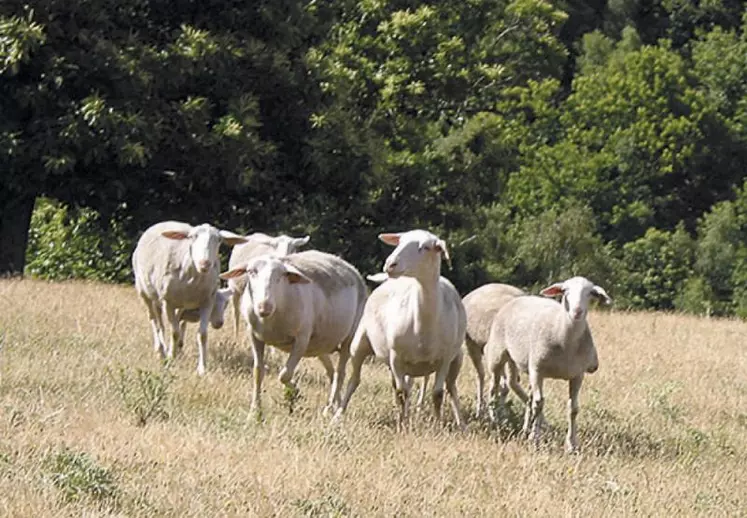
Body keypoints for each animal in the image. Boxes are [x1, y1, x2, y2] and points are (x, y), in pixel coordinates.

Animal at [132, 221, 248, 376]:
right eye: (192, 237)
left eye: (218, 240)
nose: (205, 263)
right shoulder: (168, 301)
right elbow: (174, 332)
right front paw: (170, 358)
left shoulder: (207, 301)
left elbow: (202, 334)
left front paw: (202, 368)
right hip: (145, 292)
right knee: (155, 322)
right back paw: (161, 350)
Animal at [218, 250, 366, 416]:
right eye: (251, 272)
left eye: (281, 276)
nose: (264, 306)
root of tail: (352, 269)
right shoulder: (254, 336)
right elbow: (258, 371)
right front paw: (255, 411)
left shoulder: (301, 339)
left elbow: (285, 374)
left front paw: (295, 390)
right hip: (320, 345)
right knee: (332, 372)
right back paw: (334, 404)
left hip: (349, 338)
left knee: (340, 374)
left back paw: (331, 410)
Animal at [334, 231, 464, 430]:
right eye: (400, 242)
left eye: (426, 247)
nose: (390, 264)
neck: (424, 323)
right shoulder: (396, 356)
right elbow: (402, 392)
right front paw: (402, 426)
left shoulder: (445, 358)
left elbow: (437, 393)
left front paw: (437, 425)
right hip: (360, 344)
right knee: (354, 381)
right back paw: (338, 415)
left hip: (456, 358)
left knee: (451, 387)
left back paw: (461, 423)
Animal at [486, 278, 612, 452]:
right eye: (565, 290)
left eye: (591, 293)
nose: (577, 311)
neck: (567, 342)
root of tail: (519, 299)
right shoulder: (538, 370)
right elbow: (539, 404)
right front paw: (534, 439)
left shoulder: (577, 375)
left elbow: (573, 408)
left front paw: (572, 444)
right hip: (498, 355)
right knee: (494, 388)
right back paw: (495, 420)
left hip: (520, 362)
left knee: (527, 396)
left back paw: (524, 429)